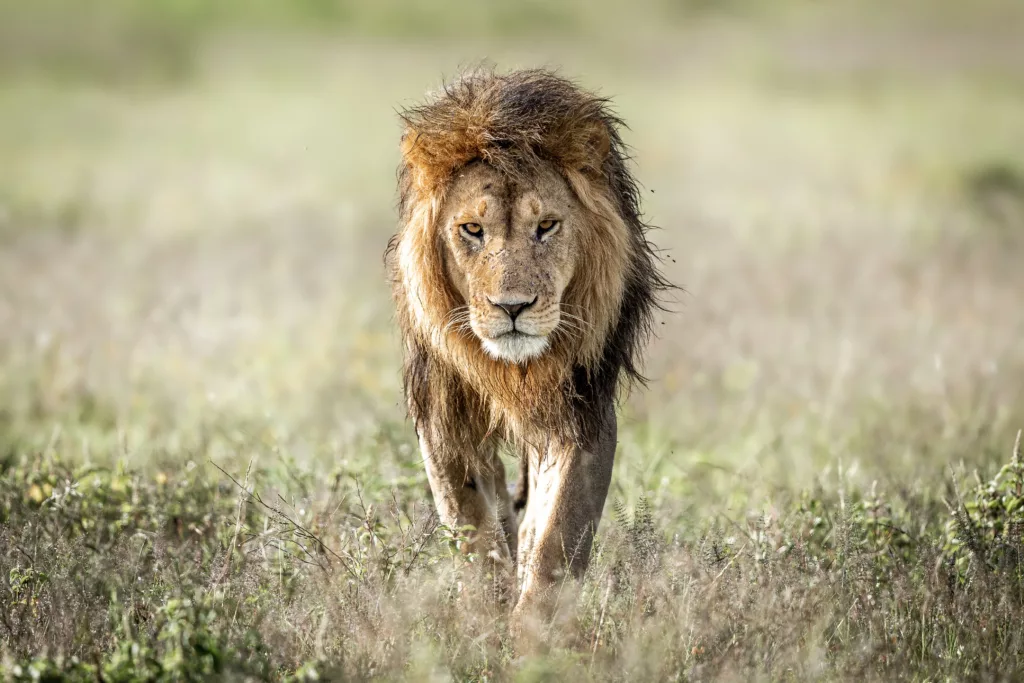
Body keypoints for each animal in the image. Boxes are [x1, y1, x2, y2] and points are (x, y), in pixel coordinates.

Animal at [387, 68, 667, 618]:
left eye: (547, 226)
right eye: (472, 229)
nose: (512, 307)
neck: (514, 370)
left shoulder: (582, 411)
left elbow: (556, 537)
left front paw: (531, 630)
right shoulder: (442, 415)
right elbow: (473, 531)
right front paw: (486, 618)